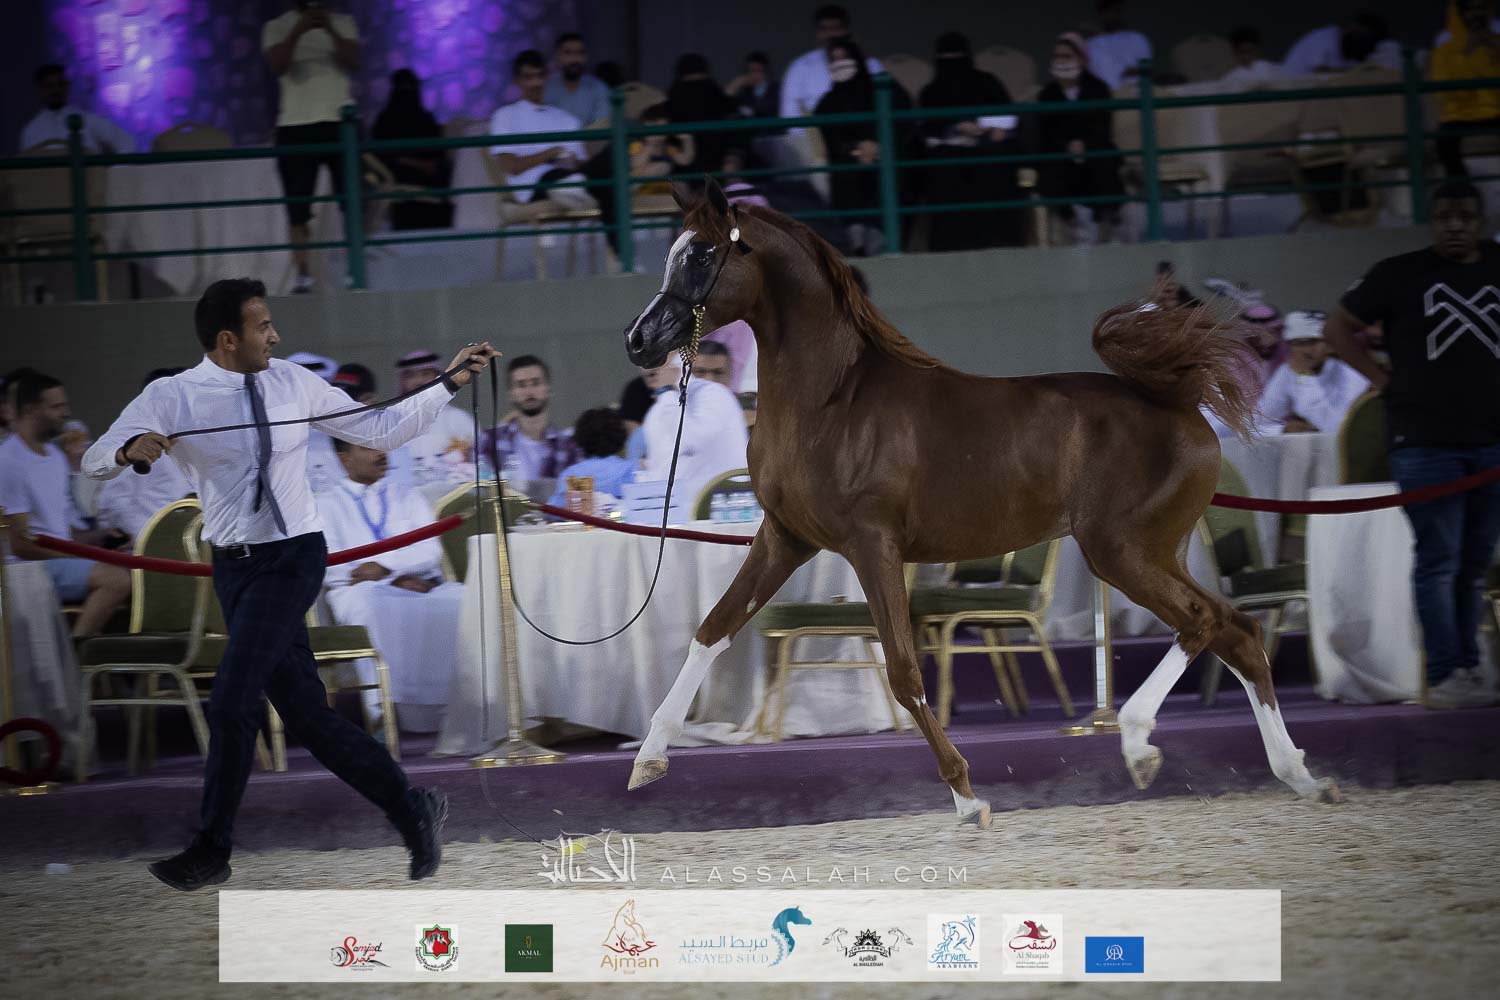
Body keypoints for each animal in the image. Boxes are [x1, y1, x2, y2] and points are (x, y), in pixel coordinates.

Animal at [621, 178, 1341, 828]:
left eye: (702, 254)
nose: (639, 339)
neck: (830, 402)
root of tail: (1182, 403)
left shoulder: (871, 544)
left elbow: (905, 672)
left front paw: (969, 799)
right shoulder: (784, 538)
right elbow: (711, 630)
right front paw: (647, 762)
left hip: (1122, 550)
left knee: (1204, 622)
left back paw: (1139, 745)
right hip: (1160, 550)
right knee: (1238, 631)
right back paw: (1302, 777)